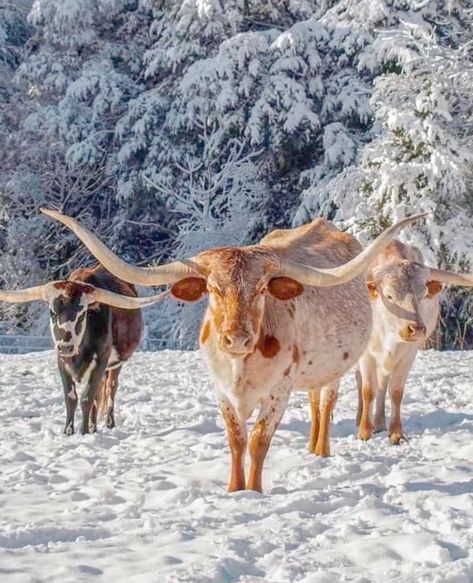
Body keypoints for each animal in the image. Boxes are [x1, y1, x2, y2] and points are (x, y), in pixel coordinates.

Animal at [0, 264, 166, 434]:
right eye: (53, 312)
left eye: (82, 313)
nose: (66, 347)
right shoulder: (61, 361)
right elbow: (71, 398)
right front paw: (68, 431)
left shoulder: (101, 360)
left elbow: (87, 397)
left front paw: (83, 431)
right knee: (98, 394)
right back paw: (93, 426)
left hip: (116, 364)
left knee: (110, 388)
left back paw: (109, 423)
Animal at [41, 208, 424, 490]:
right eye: (212, 288)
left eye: (261, 288)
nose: (237, 339)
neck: (242, 366)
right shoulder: (222, 392)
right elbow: (236, 440)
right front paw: (233, 490)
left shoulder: (279, 391)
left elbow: (257, 441)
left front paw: (253, 491)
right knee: (315, 403)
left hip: (336, 367)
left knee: (325, 401)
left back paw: (321, 451)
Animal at [356, 240, 472, 444]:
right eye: (389, 296)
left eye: (422, 295)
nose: (416, 329)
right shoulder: (366, 354)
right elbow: (367, 390)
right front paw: (364, 431)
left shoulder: (408, 354)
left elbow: (395, 392)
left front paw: (396, 433)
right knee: (361, 382)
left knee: (383, 385)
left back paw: (379, 423)